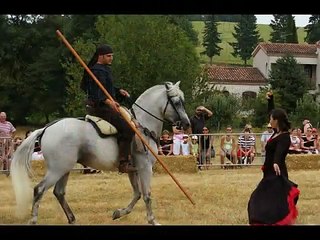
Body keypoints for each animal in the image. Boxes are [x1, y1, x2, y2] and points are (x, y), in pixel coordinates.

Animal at [10, 81, 190, 225]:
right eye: (176, 102)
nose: (187, 124)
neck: (142, 126)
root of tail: (46, 128)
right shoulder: (145, 168)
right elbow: (146, 195)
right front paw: (152, 220)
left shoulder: (133, 170)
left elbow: (137, 194)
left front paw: (118, 213)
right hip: (57, 169)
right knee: (39, 189)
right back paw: (33, 220)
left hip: (64, 169)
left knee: (59, 192)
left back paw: (73, 219)